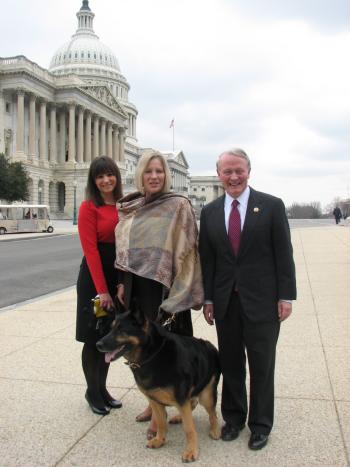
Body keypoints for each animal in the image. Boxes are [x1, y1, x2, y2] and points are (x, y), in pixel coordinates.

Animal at [97, 306, 220, 462]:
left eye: (121, 329)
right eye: (111, 328)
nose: (97, 345)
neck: (151, 355)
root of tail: (211, 346)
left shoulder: (181, 398)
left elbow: (189, 428)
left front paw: (191, 450)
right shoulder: (155, 401)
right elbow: (161, 423)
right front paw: (159, 440)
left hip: (206, 395)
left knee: (212, 413)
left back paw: (215, 430)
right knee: (192, 403)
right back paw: (179, 417)